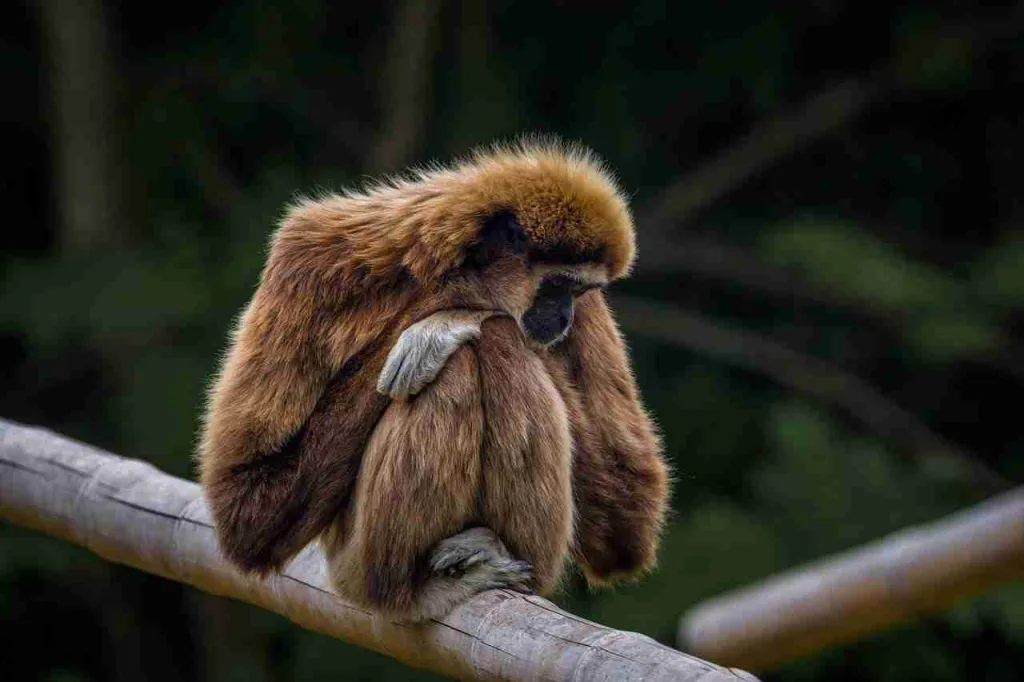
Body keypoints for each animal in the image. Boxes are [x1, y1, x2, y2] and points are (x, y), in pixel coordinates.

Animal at [197, 139, 669, 621]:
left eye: (578, 292)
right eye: (557, 285)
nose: (563, 317)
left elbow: (626, 519)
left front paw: (448, 316)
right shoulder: (307, 258)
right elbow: (249, 508)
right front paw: (460, 300)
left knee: (499, 341)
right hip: (355, 564)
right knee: (478, 351)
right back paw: (412, 589)